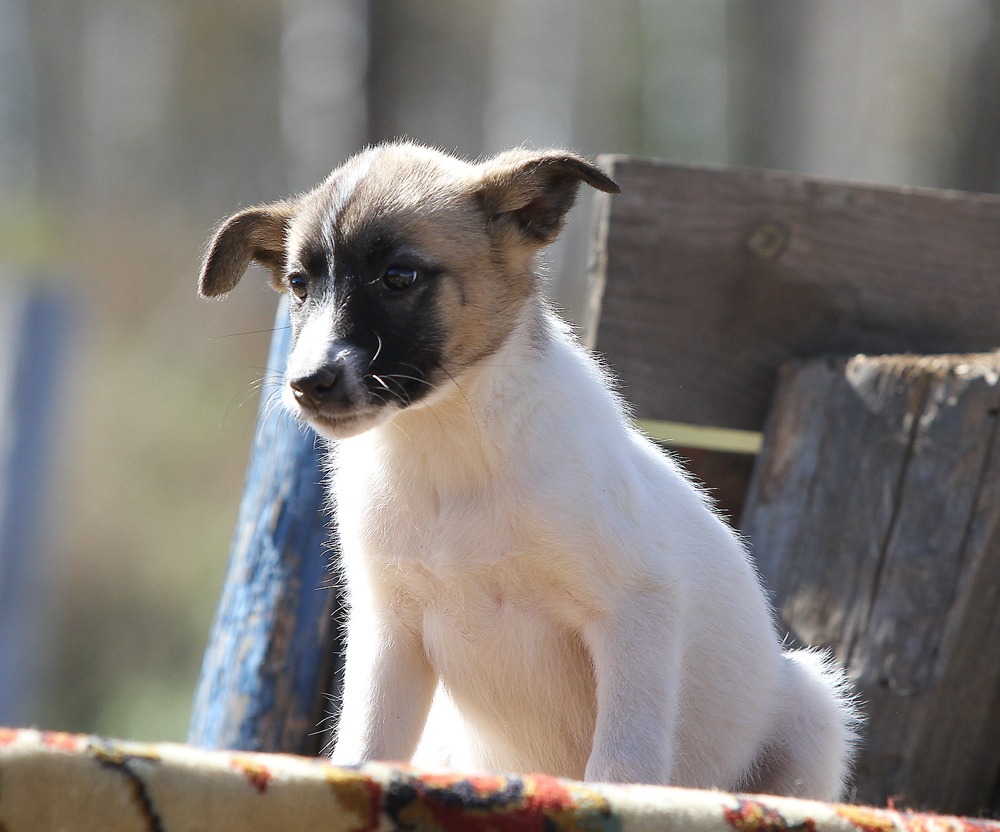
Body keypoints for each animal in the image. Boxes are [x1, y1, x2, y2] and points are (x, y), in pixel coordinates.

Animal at [201, 141, 860, 800]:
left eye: (398, 276)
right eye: (298, 284)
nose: (307, 384)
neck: (447, 447)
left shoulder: (634, 609)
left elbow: (621, 762)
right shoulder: (391, 633)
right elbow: (365, 749)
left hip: (814, 710)